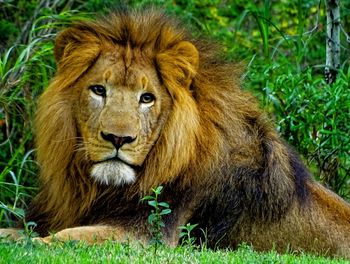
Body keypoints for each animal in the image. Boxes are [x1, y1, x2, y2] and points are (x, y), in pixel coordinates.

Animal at [0, 7, 350, 258]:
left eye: (147, 98)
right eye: (98, 90)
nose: (118, 139)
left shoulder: (147, 235)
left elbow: (62, 238)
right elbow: (20, 230)